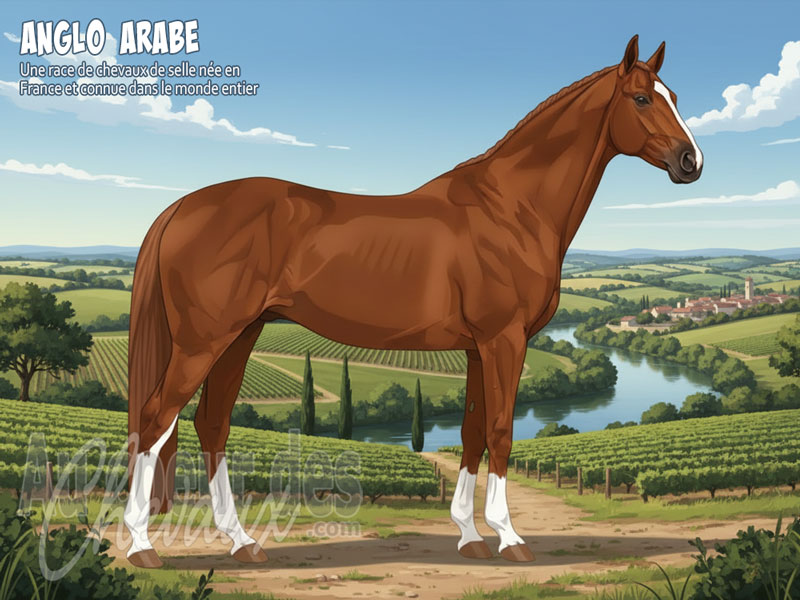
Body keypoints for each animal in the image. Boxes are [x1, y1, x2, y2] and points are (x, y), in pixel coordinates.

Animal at [124, 35, 703, 568]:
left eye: (673, 95)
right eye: (641, 99)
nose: (691, 161)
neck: (512, 208)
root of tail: (180, 207)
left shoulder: (477, 348)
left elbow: (472, 433)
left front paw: (469, 536)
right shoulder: (504, 340)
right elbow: (501, 433)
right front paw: (509, 538)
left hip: (240, 335)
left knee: (211, 425)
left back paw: (242, 542)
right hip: (203, 341)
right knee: (155, 419)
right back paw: (141, 547)